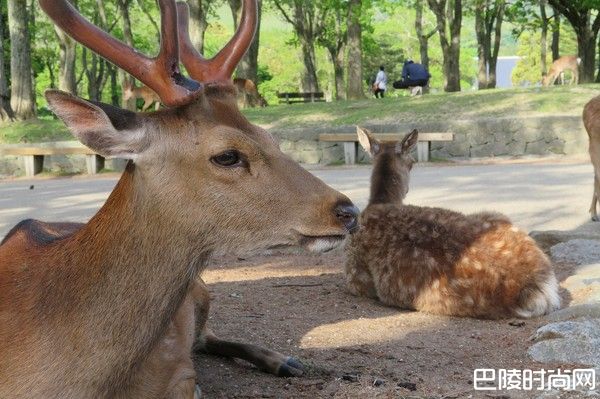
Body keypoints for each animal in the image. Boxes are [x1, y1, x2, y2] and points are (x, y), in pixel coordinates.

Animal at [0, 0, 360, 399]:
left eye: (271, 137)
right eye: (227, 155)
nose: (348, 211)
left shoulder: (180, 372)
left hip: (202, 290)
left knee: (208, 336)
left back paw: (285, 361)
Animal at [344, 128, 560, 322]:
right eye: (412, 162)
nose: (406, 190)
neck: (378, 203)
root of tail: (538, 287)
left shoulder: (354, 276)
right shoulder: (354, 276)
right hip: (497, 215)